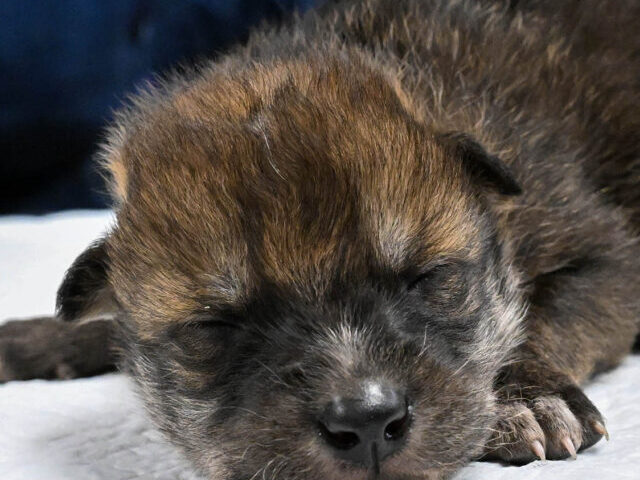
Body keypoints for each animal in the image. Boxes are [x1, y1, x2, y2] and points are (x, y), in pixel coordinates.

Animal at [1, 0, 640, 478]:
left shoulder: (603, 250)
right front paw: (33, 341)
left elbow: (542, 315)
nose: (366, 423)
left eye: (428, 279)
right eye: (213, 327)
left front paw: (528, 398)